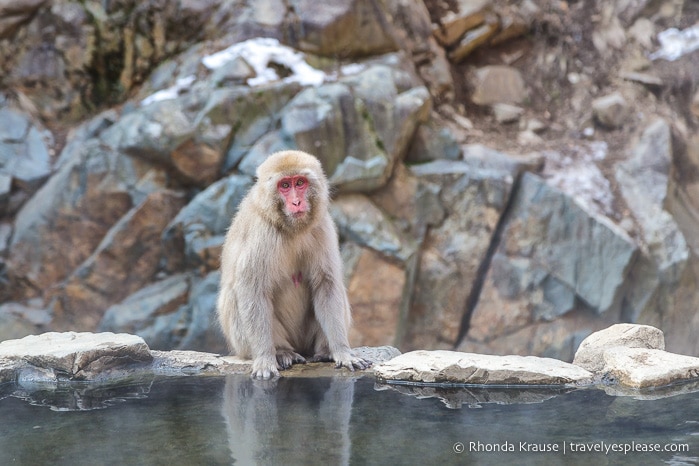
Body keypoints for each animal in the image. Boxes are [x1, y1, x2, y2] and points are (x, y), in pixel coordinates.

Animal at [217, 149, 372, 378]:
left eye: (299, 183)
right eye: (284, 185)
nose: (296, 203)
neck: (290, 228)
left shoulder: (322, 227)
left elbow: (326, 285)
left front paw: (342, 351)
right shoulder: (261, 233)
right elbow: (251, 290)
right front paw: (265, 358)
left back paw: (325, 351)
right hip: (244, 344)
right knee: (234, 295)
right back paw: (282, 352)